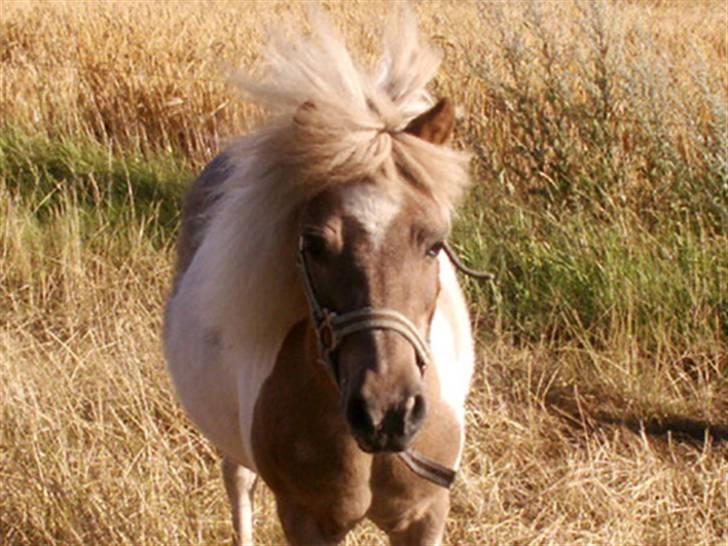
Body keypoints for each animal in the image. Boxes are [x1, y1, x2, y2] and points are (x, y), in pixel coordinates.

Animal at [162, 9, 474, 544]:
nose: (386, 412)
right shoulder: (308, 518)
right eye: (312, 244)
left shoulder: (424, 515)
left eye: (434, 244)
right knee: (237, 481)